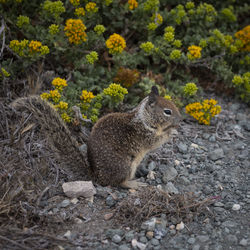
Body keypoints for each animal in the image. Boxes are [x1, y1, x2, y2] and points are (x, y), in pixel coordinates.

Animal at [11, 86, 182, 188]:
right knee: (119, 183)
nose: (180, 119)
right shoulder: (146, 135)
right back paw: (134, 184)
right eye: (167, 111)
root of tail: (96, 176)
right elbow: (156, 141)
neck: (144, 119)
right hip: (126, 166)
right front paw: (171, 133)